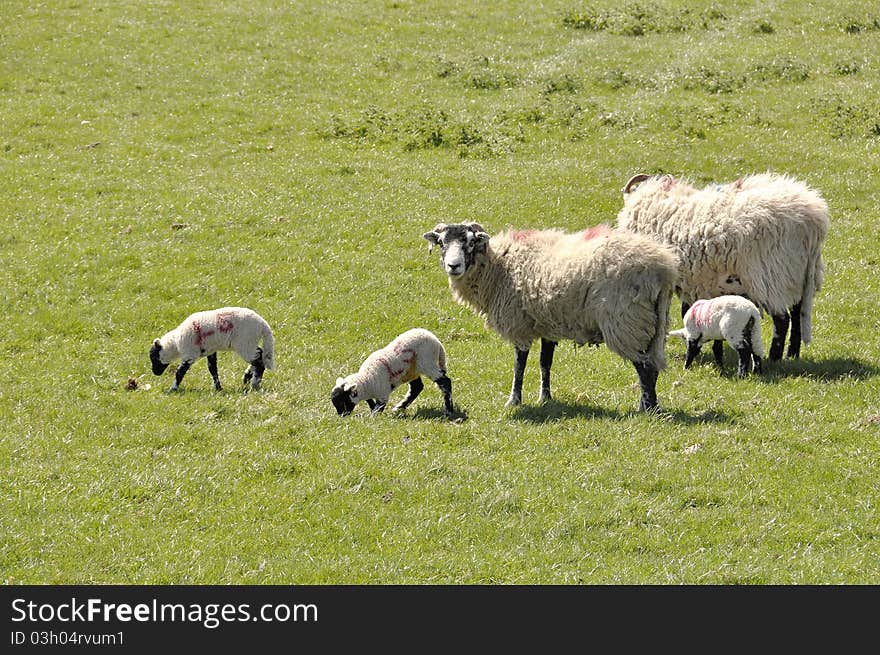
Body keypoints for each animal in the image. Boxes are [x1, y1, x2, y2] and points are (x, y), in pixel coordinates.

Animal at [422, 223, 676, 412]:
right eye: (442, 243)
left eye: (471, 242)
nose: (453, 266)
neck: (498, 266)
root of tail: (662, 268)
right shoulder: (547, 323)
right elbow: (545, 362)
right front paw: (545, 397)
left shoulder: (518, 323)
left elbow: (519, 364)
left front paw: (514, 400)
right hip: (652, 322)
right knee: (651, 365)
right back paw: (649, 406)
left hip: (627, 321)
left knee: (644, 367)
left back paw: (648, 409)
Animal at [616, 172, 828, 362]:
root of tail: (812, 221)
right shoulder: (694, 282)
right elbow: (687, 311)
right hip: (794, 275)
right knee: (797, 313)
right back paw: (793, 354)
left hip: (771, 276)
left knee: (782, 320)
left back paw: (774, 358)